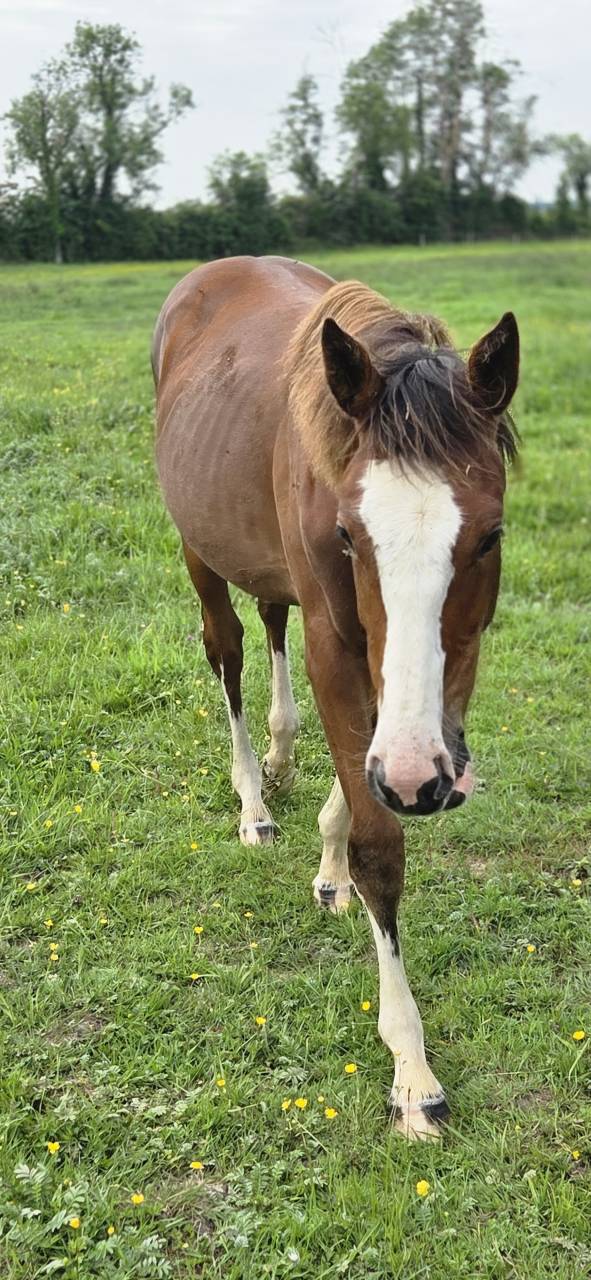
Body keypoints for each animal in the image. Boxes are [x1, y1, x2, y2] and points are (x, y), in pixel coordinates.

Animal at [152, 255, 519, 1141]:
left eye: (489, 536)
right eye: (352, 534)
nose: (427, 779)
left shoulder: (426, 675)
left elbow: (367, 772)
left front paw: (328, 859)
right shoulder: (336, 637)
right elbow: (380, 845)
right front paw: (411, 1071)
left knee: (269, 620)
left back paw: (284, 758)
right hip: (197, 549)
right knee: (229, 650)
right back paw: (254, 799)